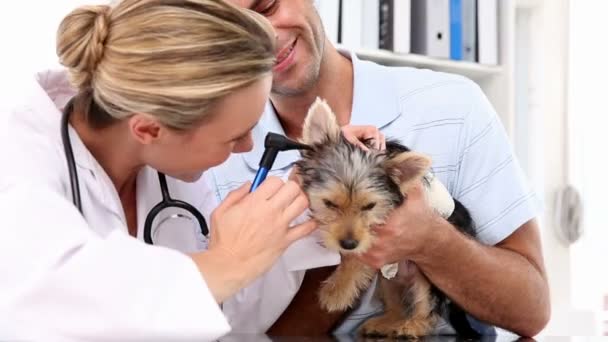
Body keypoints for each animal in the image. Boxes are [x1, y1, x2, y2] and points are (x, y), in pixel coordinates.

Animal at [296, 97, 480, 338]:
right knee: (395, 303)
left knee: (426, 306)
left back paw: (413, 326)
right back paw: (386, 322)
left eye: (369, 206)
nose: (348, 243)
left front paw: (336, 291)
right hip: (388, 281)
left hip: (429, 275)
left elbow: (358, 256)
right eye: (329, 204)